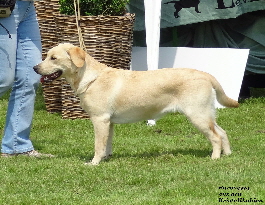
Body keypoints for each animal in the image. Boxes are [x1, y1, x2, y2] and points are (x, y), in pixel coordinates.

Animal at [33, 43, 237, 165]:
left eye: (53, 58)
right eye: (46, 56)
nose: (35, 67)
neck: (90, 78)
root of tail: (205, 74)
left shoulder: (100, 119)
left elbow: (98, 145)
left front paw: (94, 163)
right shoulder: (109, 122)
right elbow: (107, 143)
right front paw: (106, 158)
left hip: (197, 114)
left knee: (215, 137)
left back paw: (214, 157)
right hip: (206, 113)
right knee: (223, 132)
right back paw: (227, 155)